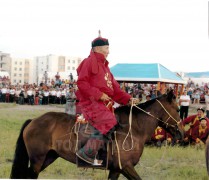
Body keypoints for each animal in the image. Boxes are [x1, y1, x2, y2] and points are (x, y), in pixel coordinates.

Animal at [10, 90, 183, 179]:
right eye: (178, 109)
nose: (181, 133)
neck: (133, 129)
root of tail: (34, 121)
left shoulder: (116, 169)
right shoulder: (125, 166)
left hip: (49, 157)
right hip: (37, 159)